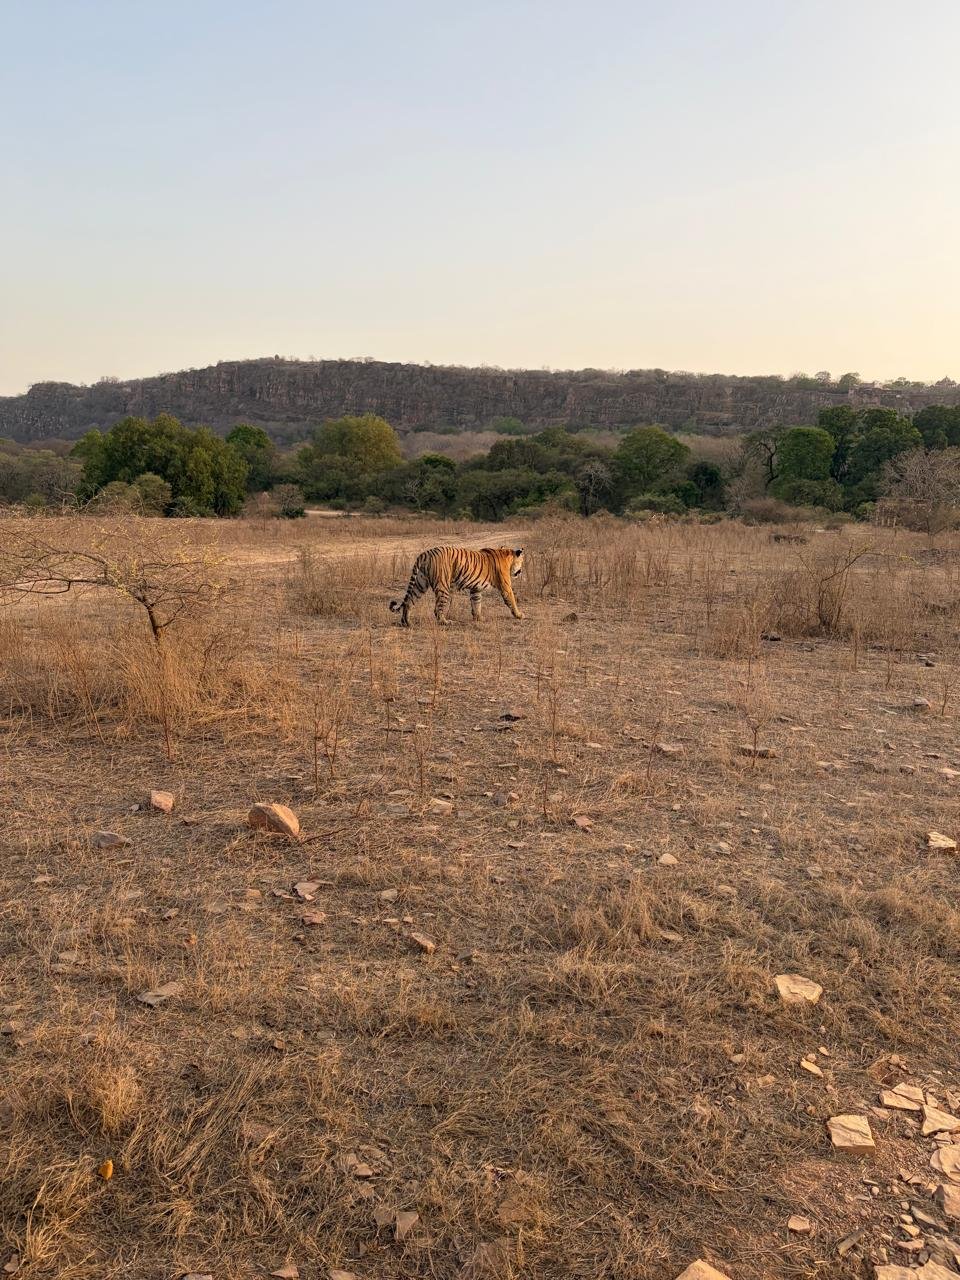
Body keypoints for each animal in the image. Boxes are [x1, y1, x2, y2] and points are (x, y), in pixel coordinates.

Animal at [390, 546, 525, 627]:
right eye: (522, 562)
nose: (520, 571)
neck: (506, 555)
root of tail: (426, 553)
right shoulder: (506, 586)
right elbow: (512, 600)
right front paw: (519, 615)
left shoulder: (476, 589)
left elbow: (476, 603)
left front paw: (478, 618)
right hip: (443, 586)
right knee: (437, 609)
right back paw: (445, 622)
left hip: (420, 584)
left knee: (409, 602)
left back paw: (406, 622)